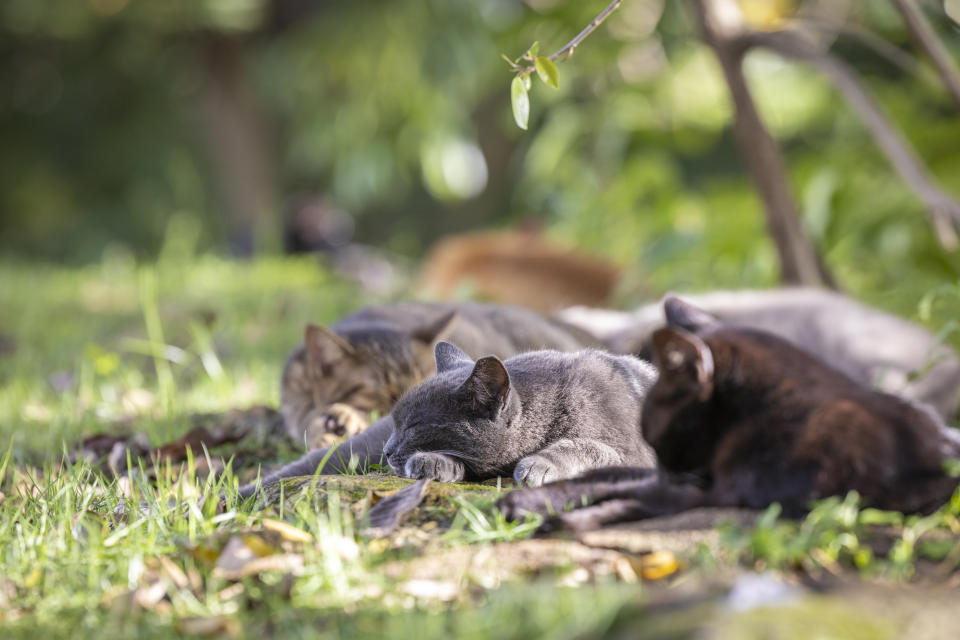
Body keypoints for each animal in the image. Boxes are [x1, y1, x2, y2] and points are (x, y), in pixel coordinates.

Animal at [382, 340, 660, 484]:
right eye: (395, 424)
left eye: (414, 426)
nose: (386, 451)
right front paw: (431, 461)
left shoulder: (634, 455)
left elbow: (583, 446)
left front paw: (539, 465)